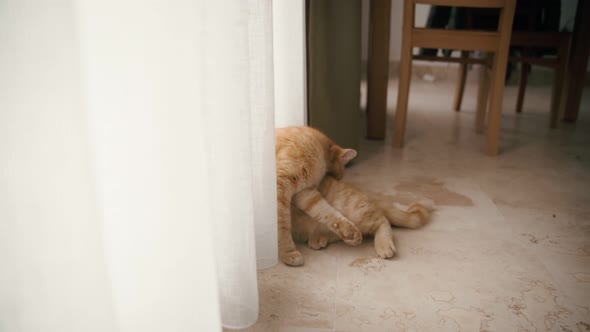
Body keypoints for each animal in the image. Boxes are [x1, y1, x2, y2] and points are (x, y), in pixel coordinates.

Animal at [276, 127, 360, 268]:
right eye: (338, 176)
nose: (337, 181)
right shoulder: (281, 186)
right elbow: (282, 226)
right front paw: (288, 252)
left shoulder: (305, 193)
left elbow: (327, 212)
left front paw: (349, 231)